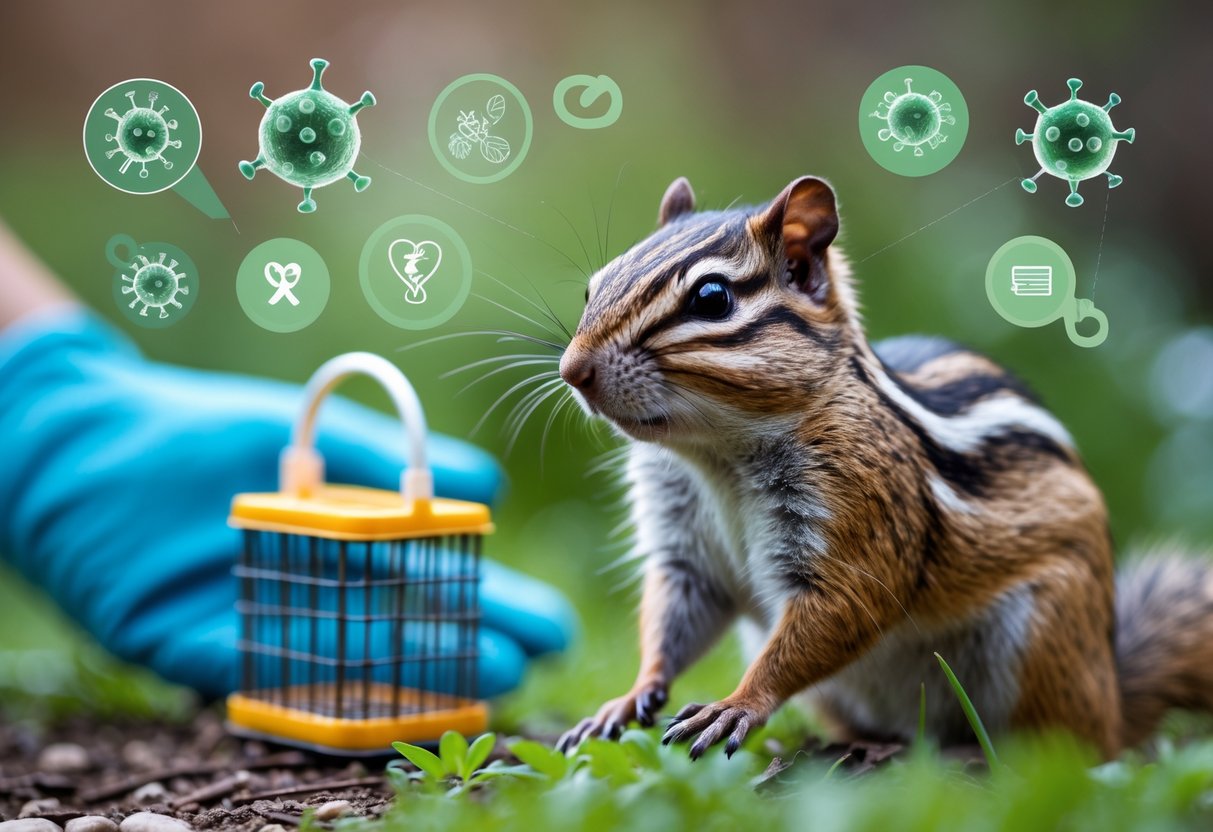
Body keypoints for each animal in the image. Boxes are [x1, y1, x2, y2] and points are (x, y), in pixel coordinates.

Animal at [553, 174, 1213, 761]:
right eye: (593, 286)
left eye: (712, 298)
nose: (572, 370)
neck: (717, 455)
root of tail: (1112, 696)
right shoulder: (684, 549)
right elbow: (674, 616)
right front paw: (627, 699)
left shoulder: (861, 513)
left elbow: (838, 613)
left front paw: (736, 705)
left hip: (1042, 641)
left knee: (1070, 750)